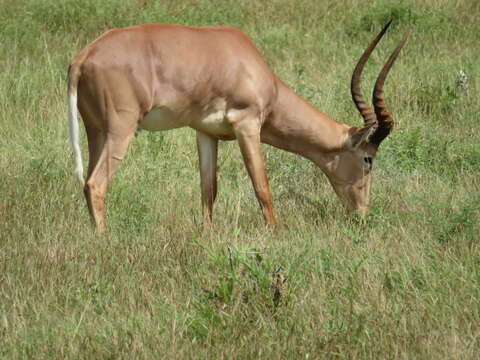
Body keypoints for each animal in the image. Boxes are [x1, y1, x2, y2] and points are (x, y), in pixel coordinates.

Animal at [68, 21, 408, 232]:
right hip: (120, 132)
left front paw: (206, 236)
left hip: (96, 133)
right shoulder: (247, 125)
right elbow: (262, 186)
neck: (244, 60)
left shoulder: (205, 133)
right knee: (96, 184)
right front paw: (276, 234)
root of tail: (83, 57)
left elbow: (208, 189)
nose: (362, 213)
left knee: (87, 182)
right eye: (368, 159)